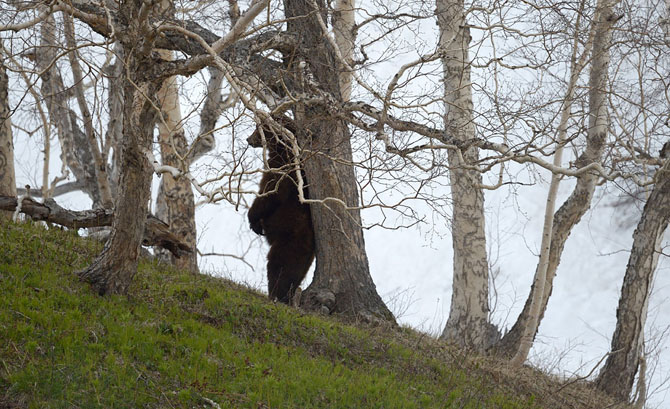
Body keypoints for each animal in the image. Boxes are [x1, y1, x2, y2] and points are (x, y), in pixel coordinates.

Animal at [248, 115, 316, 302]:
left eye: (258, 128)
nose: (248, 139)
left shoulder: (282, 167)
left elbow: (270, 193)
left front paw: (253, 219)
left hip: (289, 240)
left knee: (279, 266)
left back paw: (275, 295)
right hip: (305, 258)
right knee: (295, 274)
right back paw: (289, 295)